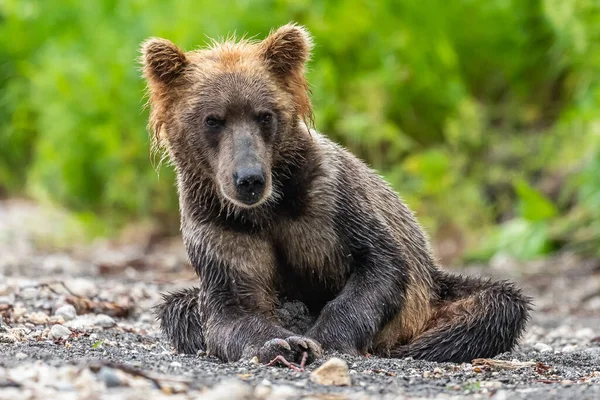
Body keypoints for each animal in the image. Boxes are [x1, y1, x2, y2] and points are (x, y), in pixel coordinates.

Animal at [139, 21, 528, 366]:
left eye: (265, 115)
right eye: (213, 119)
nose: (249, 179)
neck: (268, 209)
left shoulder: (330, 201)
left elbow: (380, 265)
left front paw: (320, 338)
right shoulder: (218, 224)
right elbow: (230, 307)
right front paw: (278, 343)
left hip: (434, 292)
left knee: (496, 304)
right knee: (178, 309)